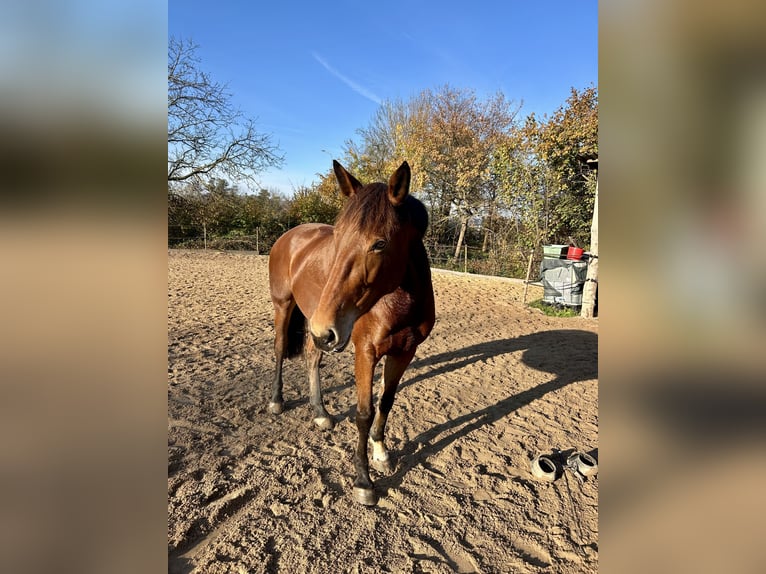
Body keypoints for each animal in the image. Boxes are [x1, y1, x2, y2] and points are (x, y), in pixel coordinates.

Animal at [267, 160, 435, 505]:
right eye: (338, 237)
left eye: (380, 243)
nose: (326, 329)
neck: (397, 303)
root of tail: (290, 235)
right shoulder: (366, 353)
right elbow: (364, 412)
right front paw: (363, 481)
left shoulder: (404, 352)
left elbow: (386, 402)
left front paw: (381, 451)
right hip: (286, 307)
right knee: (279, 349)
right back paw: (276, 401)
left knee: (312, 357)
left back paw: (320, 413)